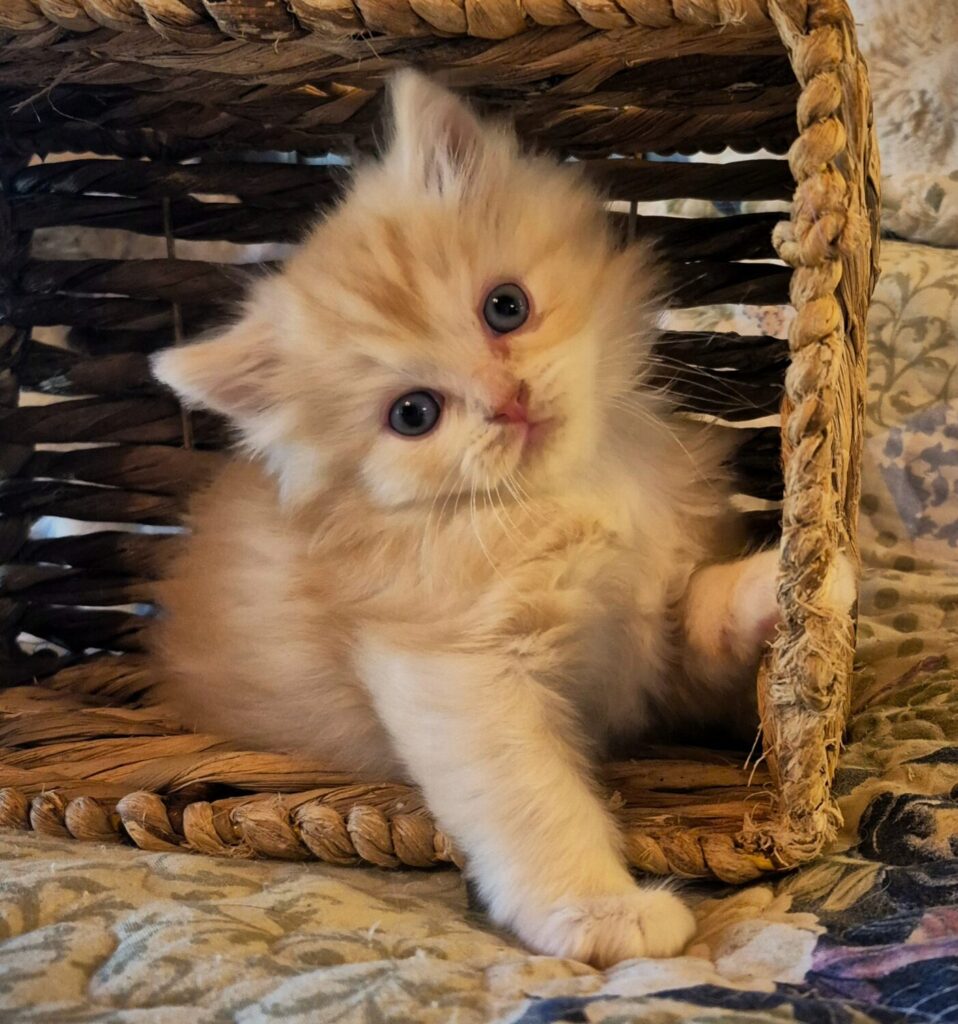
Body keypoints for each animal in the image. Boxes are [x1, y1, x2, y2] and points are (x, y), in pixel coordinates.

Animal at [151, 70, 855, 967]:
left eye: (506, 308)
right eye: (413, 415)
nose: (508, 402)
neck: (577, 490)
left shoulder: (657, 655)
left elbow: (702, 613)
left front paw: (796, 580)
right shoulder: (455, 668)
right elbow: (530, 798)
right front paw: (601, 913)